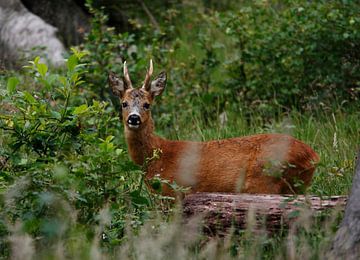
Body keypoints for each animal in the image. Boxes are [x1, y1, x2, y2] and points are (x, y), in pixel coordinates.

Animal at [108, 60, 320, 196]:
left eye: (147, 105)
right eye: (124, 103)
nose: (134, 118)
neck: (157, 155)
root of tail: (313, 156)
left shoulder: (173, 192)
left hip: (264, 179)